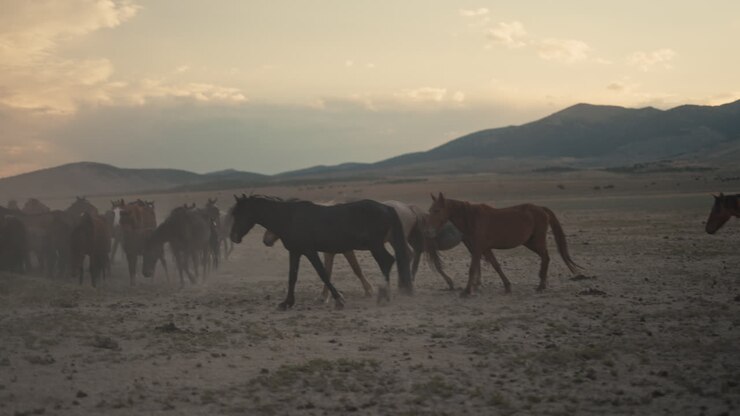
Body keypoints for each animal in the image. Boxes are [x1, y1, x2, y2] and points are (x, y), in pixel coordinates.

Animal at [230, 194, 412, 310]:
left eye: (239, 214)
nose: (233, 237)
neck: (290, 218)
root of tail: (386, 207)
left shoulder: (310, 251)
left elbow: (323, 273)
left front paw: (339, 300)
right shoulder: (295, 252)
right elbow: (292, 277)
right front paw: (287, 303)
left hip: (375, 246)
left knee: (387, 261)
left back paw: (382, 296)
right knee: (388, 261)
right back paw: (385, 295)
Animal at [425, 193, 581, 297]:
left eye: (437, 210)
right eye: (430, 210)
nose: (429, 231)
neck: (472, 219)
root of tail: (541, 209)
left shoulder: (477, 249)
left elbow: (472, 268)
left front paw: (467, 291)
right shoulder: (485, 248)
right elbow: (496, 265)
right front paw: (507, 286)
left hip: (537, 241)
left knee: (546, 257)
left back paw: (541, 285)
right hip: (529, 243)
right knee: (545, 257)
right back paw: (541, 284)